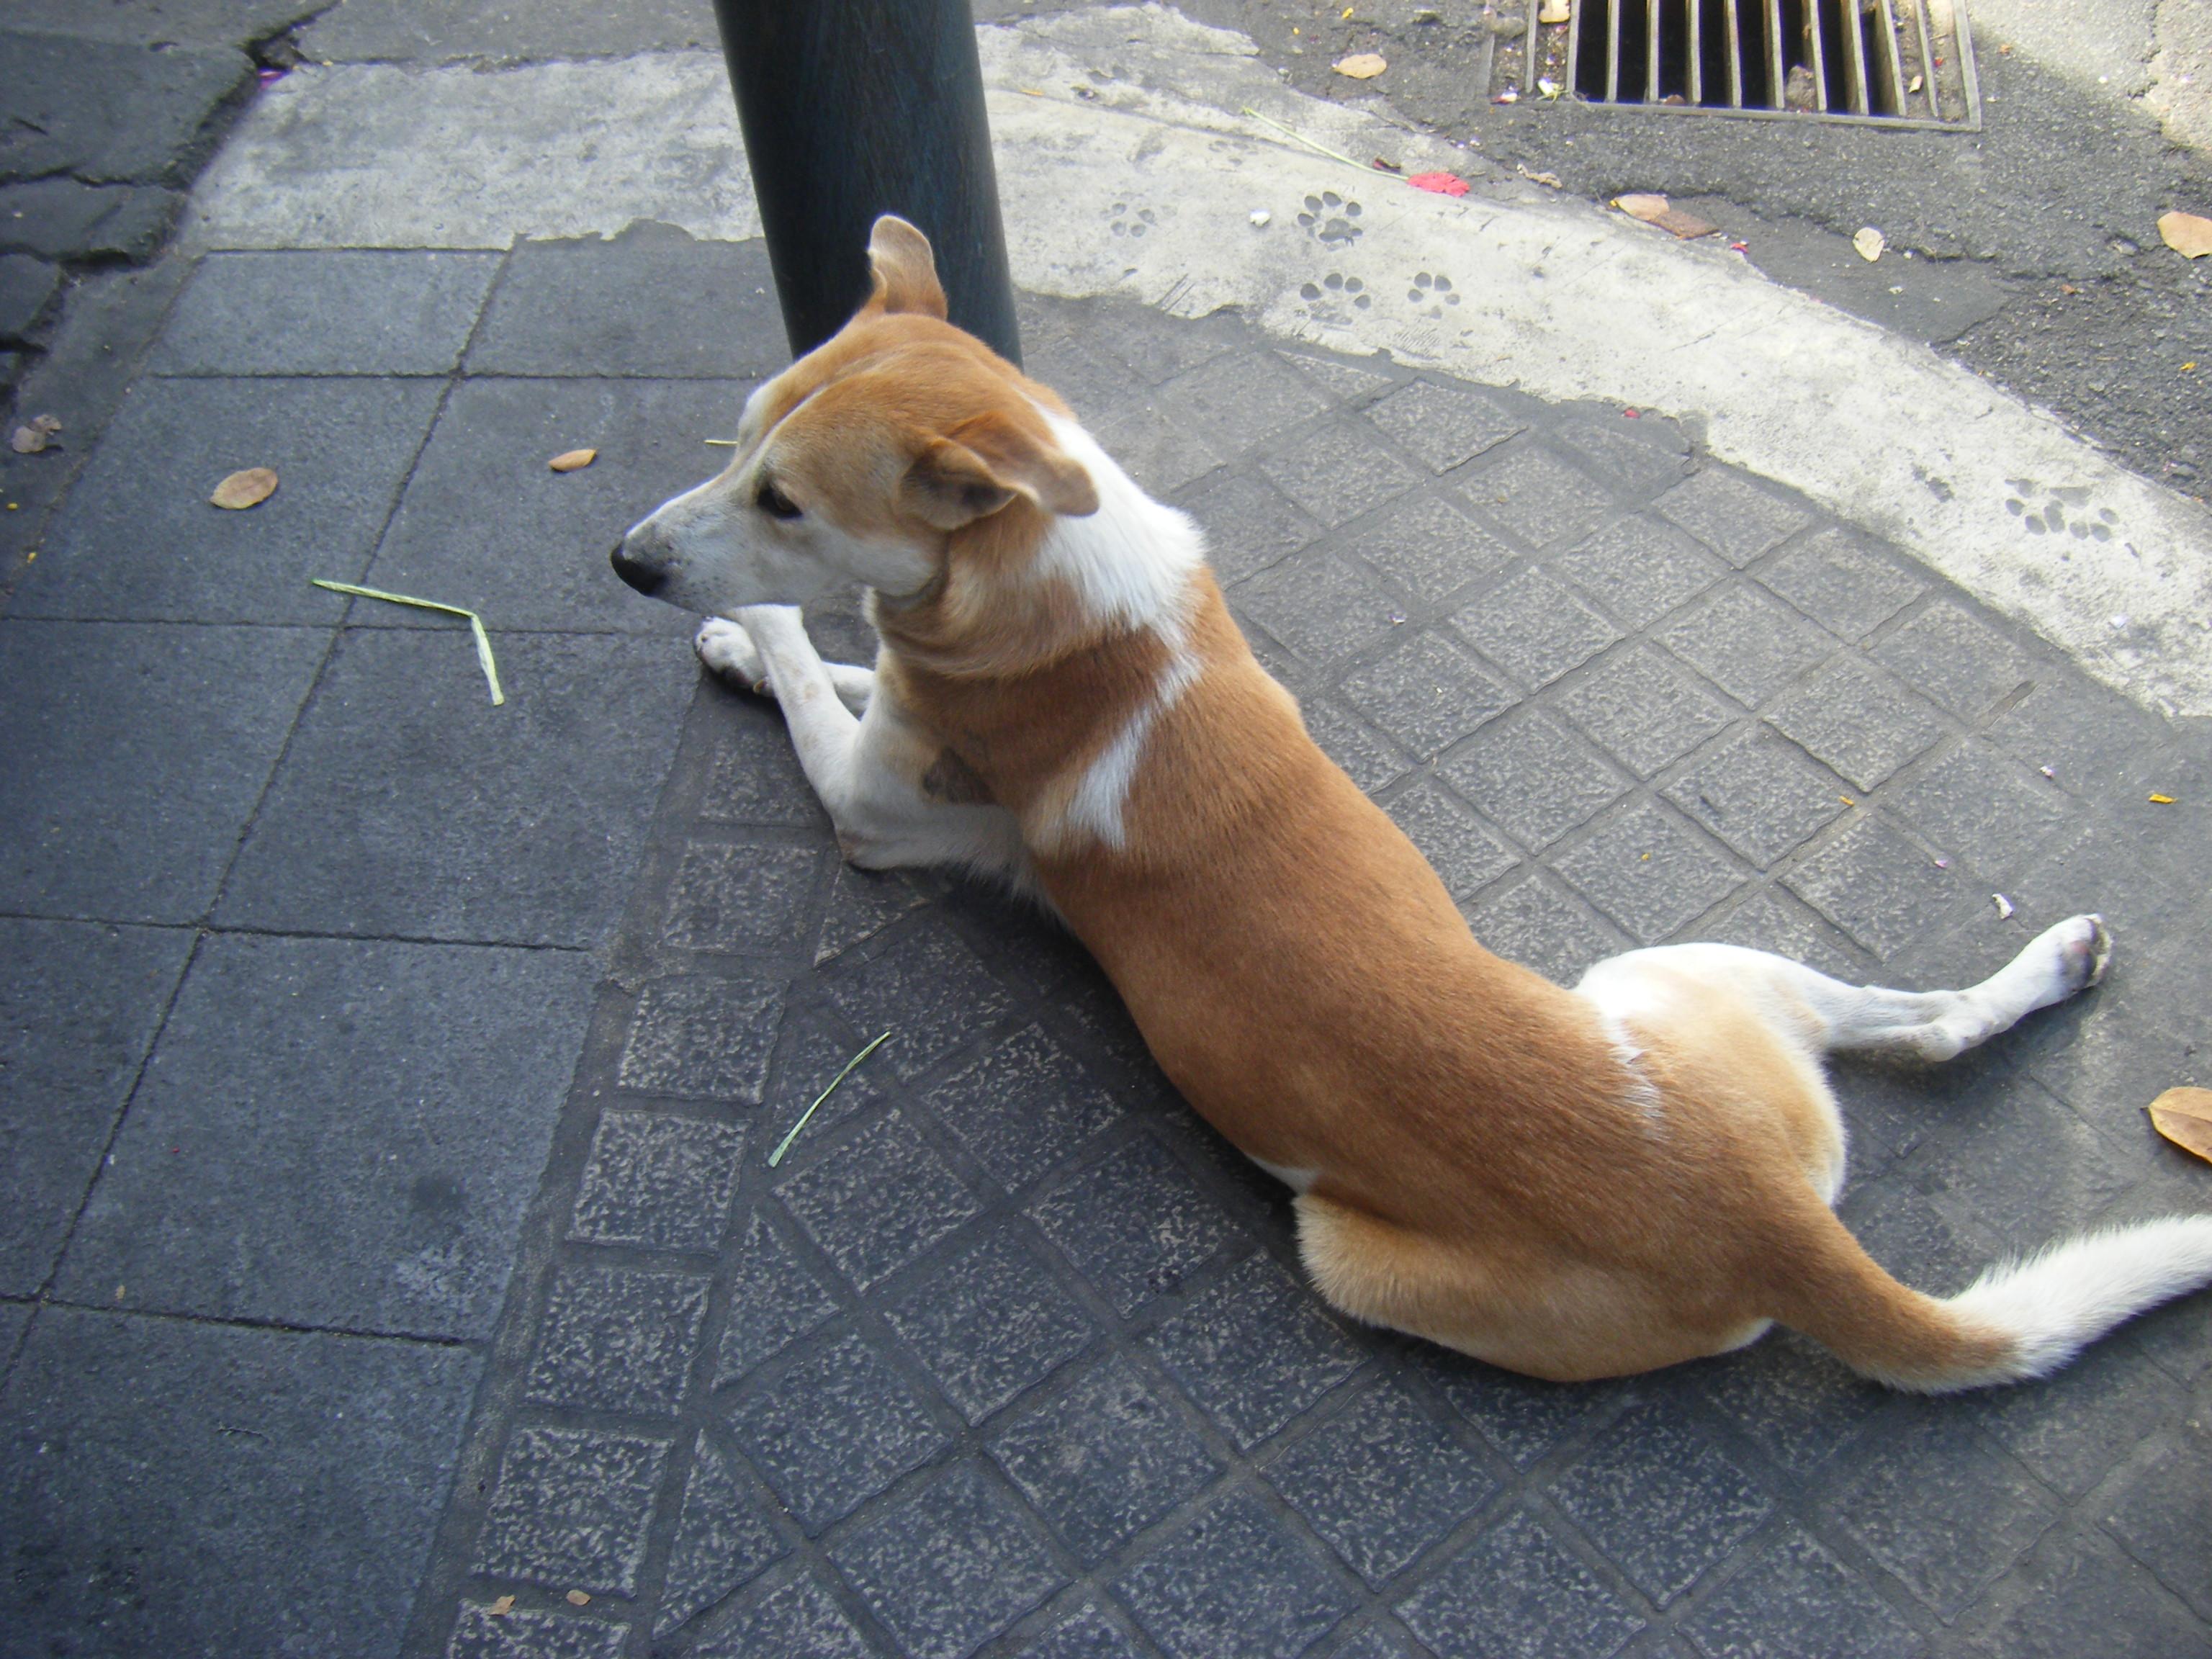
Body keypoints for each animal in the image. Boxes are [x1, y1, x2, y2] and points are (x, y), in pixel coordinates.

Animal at [614, 216, 2212, 1390]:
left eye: (786, 502)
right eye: (735, 442)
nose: (627, 560)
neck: (1049, 574)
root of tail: (1770, 1229)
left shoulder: (880, 809)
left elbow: (816, 676)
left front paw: (744, 634)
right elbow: (838, 662)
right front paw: (749, 636)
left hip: (1370, 1232)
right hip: (1703, 984)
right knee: (1920, 1024)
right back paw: (2051, 964)